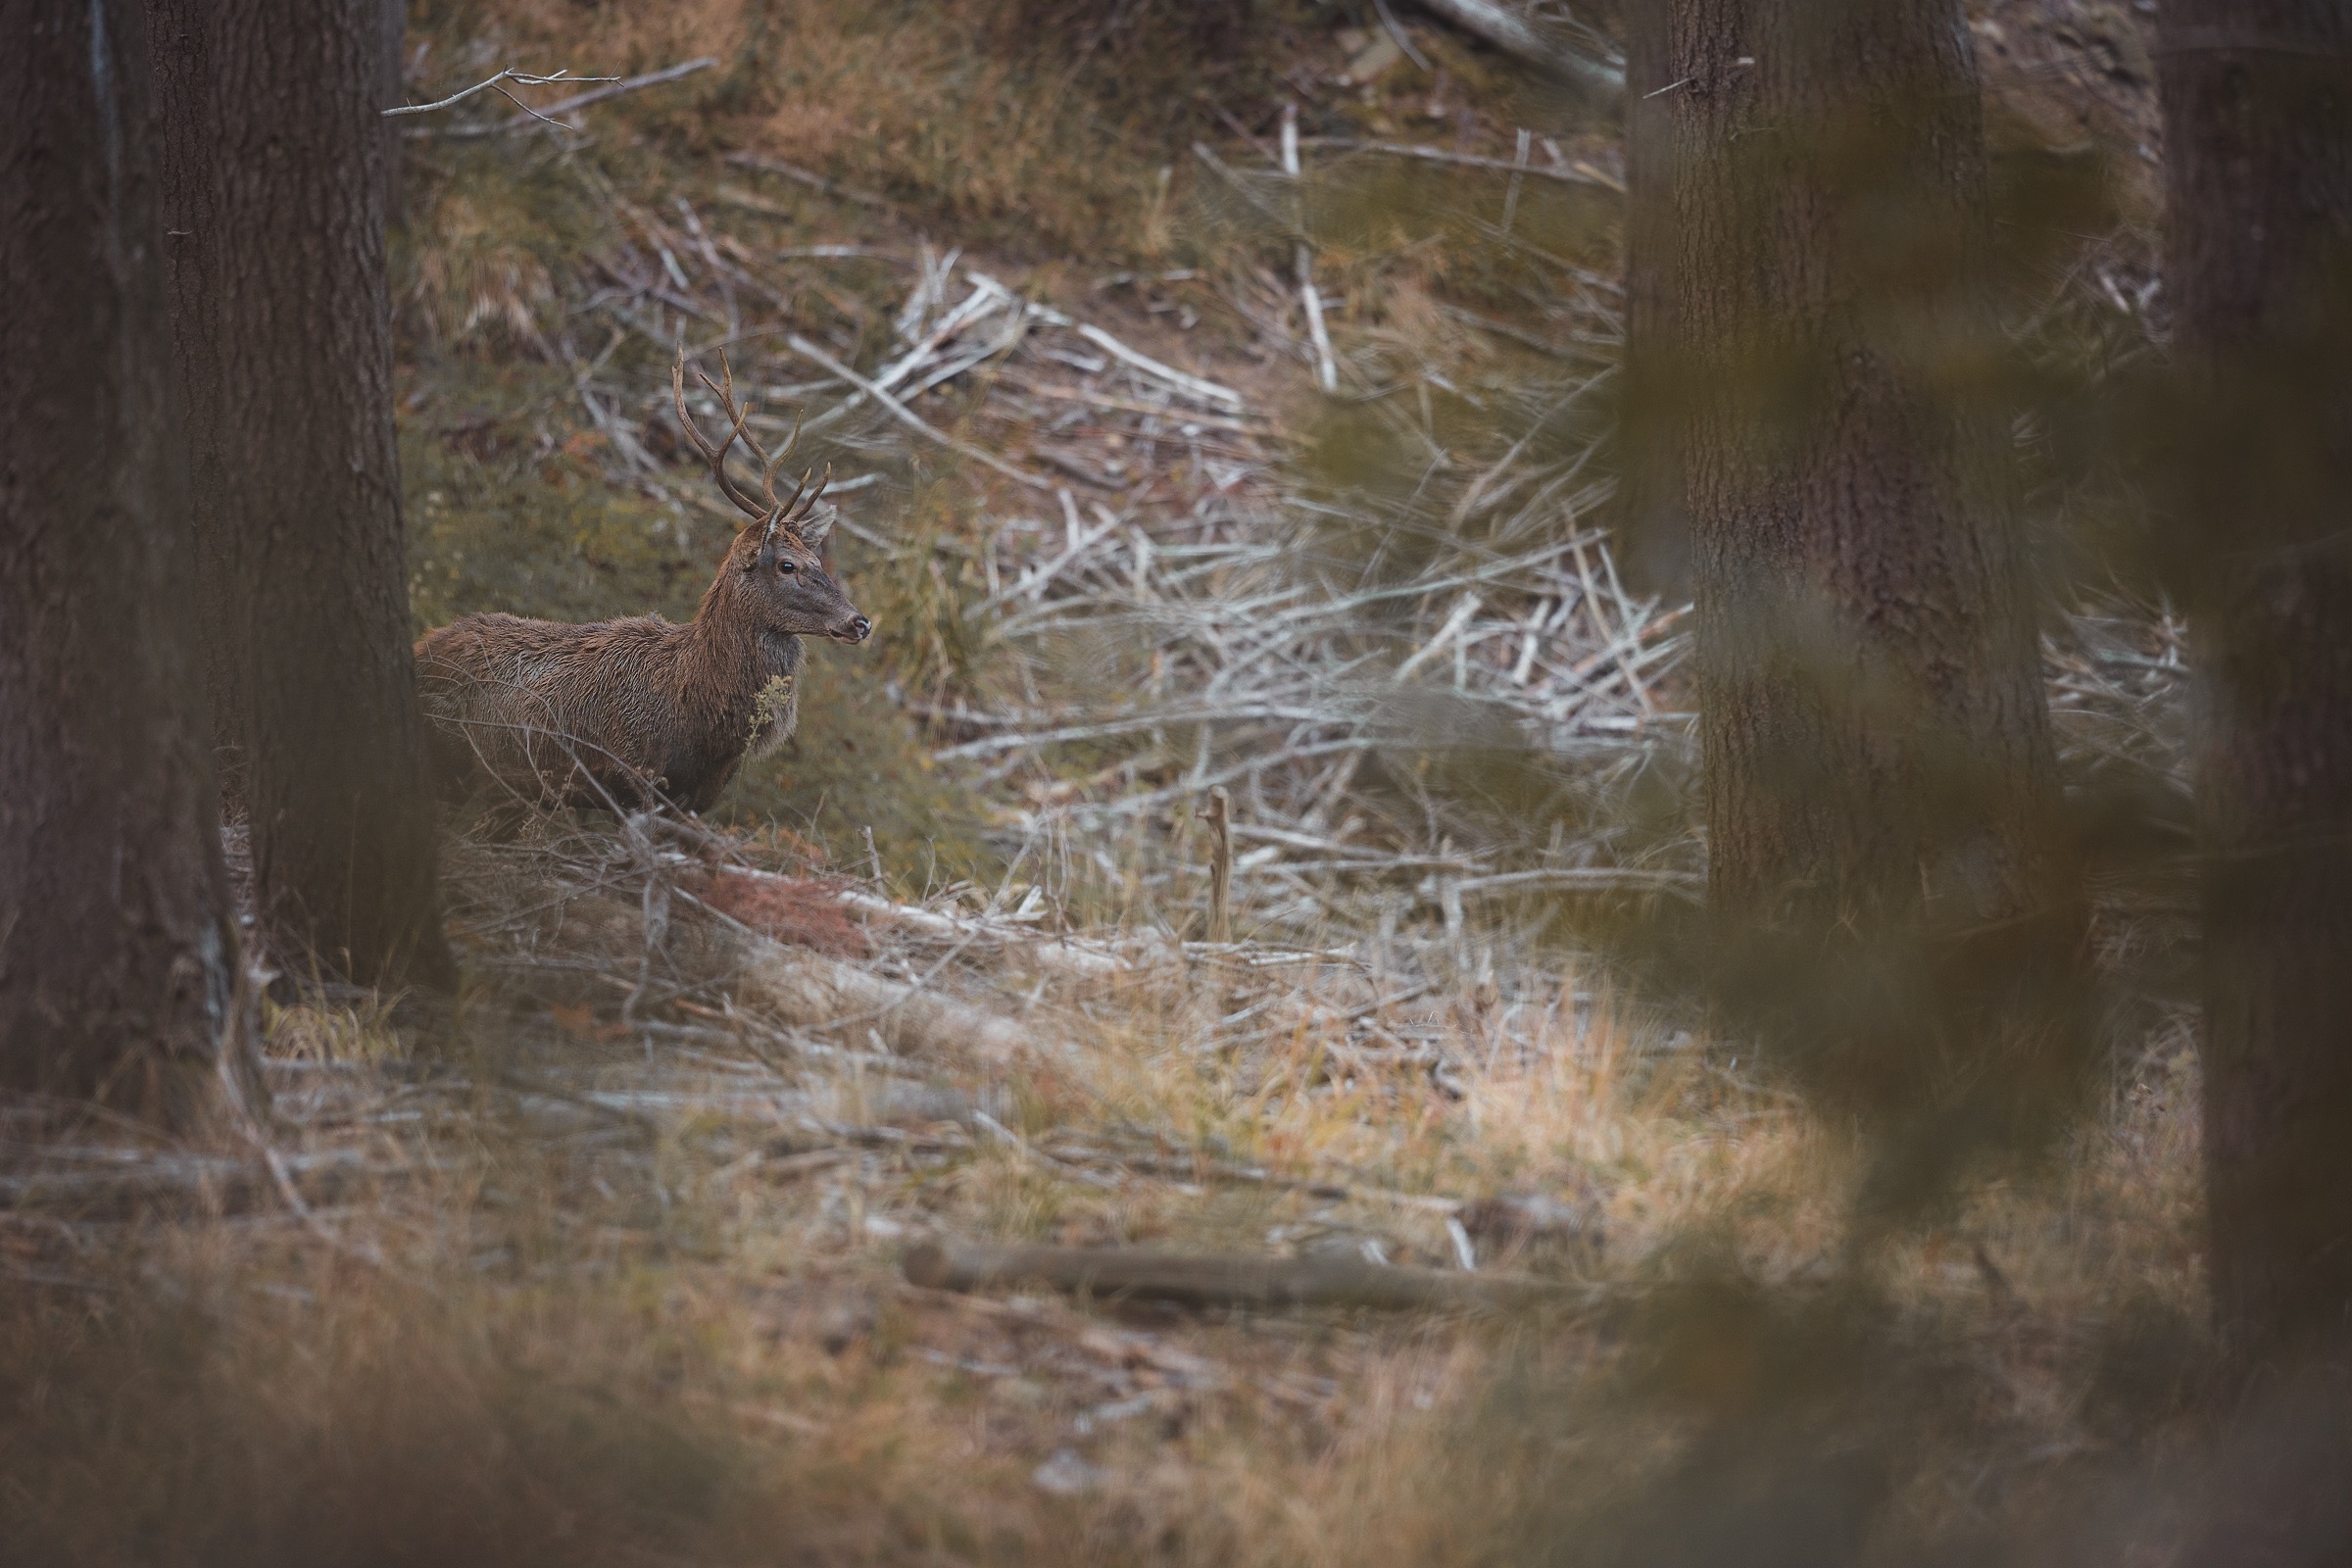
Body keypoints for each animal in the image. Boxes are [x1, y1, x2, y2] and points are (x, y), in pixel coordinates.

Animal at [413, 351, 871, 818]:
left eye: (817, 559)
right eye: (786, 565)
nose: (860, 622)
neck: (698, 716)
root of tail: (421, 646)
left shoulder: (697, 800)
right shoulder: (636, 779)